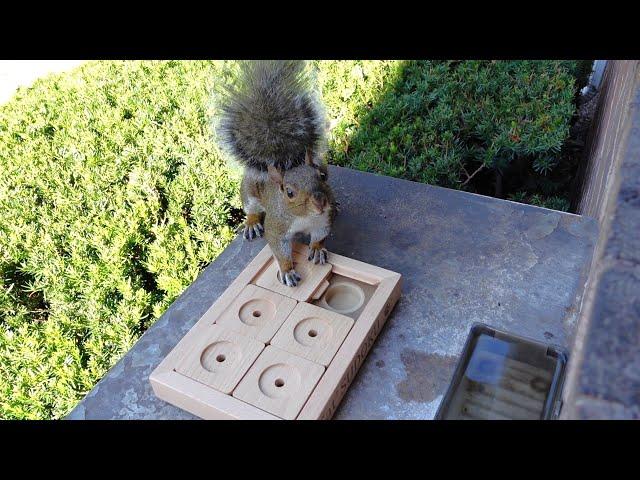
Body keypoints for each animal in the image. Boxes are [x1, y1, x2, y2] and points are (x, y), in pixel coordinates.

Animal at [216, 59, 338, 284]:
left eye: (321, 177)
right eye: (289, 192)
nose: (320, 202)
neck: (305, 217)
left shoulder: (323, 220)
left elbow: (320, 235)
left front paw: (317, 249)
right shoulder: (276, 227)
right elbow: (279, 249)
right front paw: (287, 270)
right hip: (249, 191)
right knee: (252, 209)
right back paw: (252, 223)